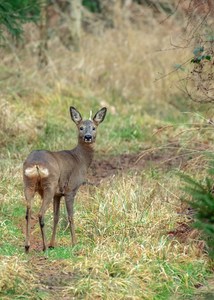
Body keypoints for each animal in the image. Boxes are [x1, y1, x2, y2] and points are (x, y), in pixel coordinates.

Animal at [23, 106, 106, 252]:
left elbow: (56, 217)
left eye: (94, 127)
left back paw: (27, 246)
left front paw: (53, 244)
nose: (88, 137)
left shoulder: (58, 194)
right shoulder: (70, 190)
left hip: (28, 183)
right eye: (81, 127)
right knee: (40, 213)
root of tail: (37, 164)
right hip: (49, 185)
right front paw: (74, 243)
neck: (80, 160)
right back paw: (44, 247)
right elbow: (70, 216)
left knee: (28, 212)